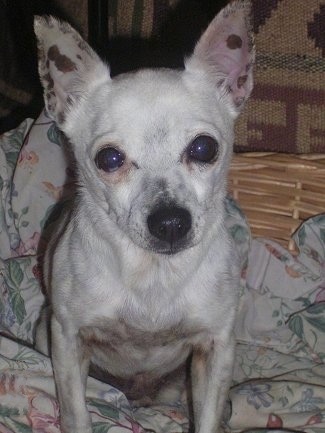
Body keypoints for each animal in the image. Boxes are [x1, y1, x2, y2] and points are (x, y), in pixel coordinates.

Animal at [34, 1, 253, 430]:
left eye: (204, 149)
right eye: (109, 159)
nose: (169, 222)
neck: (153, 274)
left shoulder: (217, 348)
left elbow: (206, 416)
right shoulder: (66, 339)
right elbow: (76, 412)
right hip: (41, 334)